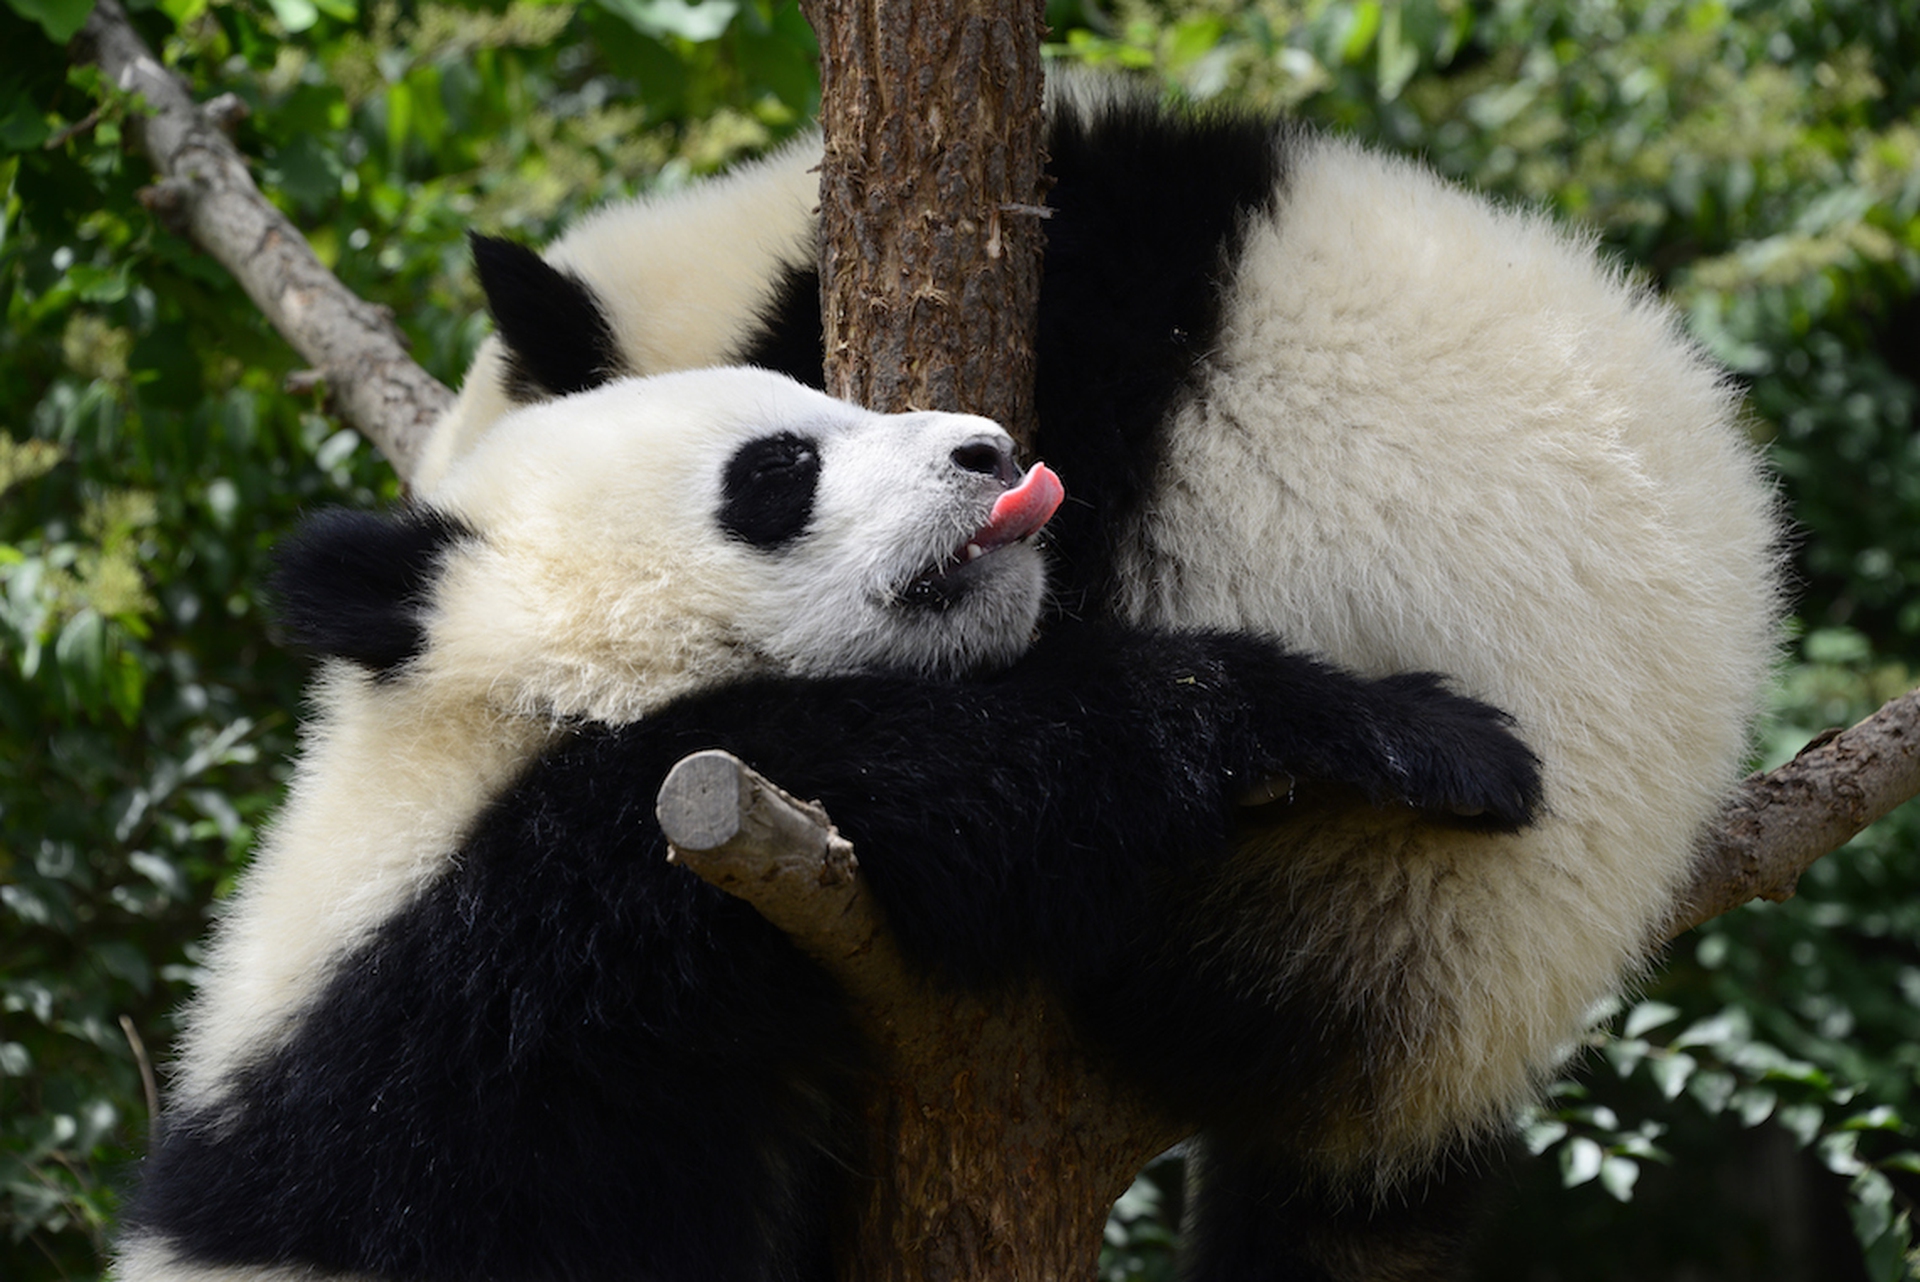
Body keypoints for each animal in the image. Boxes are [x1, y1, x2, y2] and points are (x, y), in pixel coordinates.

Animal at [117, 367, 1543, 1282]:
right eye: (778, 470)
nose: (988, 452)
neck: (491, 721)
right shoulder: (525, 956)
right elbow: (963, 801)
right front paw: (1397, 727)